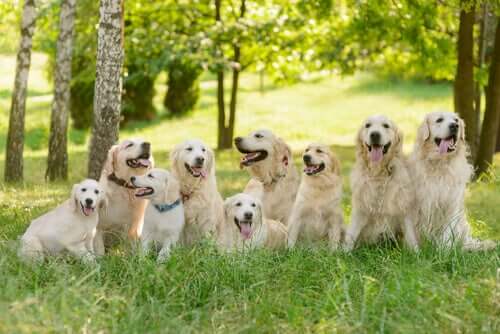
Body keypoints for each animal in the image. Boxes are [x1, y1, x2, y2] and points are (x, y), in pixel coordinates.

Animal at [344, 116, 418, 249]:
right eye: (367, 125)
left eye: (386, 125)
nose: (374, 135)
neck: (379, 174)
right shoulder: (360, 208)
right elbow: (351, 236)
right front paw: (342, 252)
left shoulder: (403, 207)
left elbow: (410, 236)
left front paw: (417, 252)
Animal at [410, 112, 496, 250]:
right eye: (439, 120)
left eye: (456, 120)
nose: (454, 126)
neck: (441, 163)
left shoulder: (452, 203)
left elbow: (447, 231)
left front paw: (443, 250)